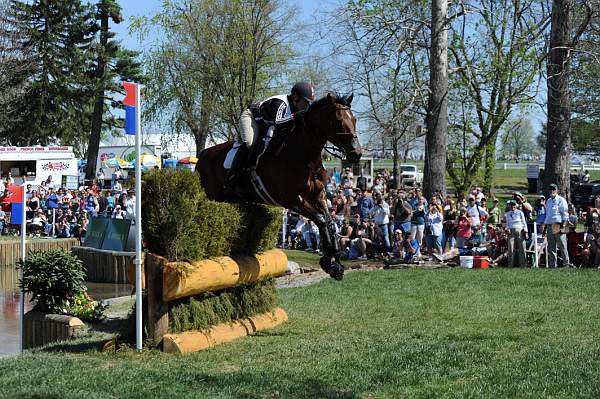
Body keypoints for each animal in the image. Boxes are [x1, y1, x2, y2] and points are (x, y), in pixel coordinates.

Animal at [199, 93, 364, 282]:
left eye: (354, 119)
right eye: (337, 120)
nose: (356, 153)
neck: (303, 155)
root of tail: (202, 156)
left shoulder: (318, 196)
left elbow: (329, 223)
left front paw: (334, 263)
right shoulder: (291, 200)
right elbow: (321, 220)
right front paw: (328, 261)